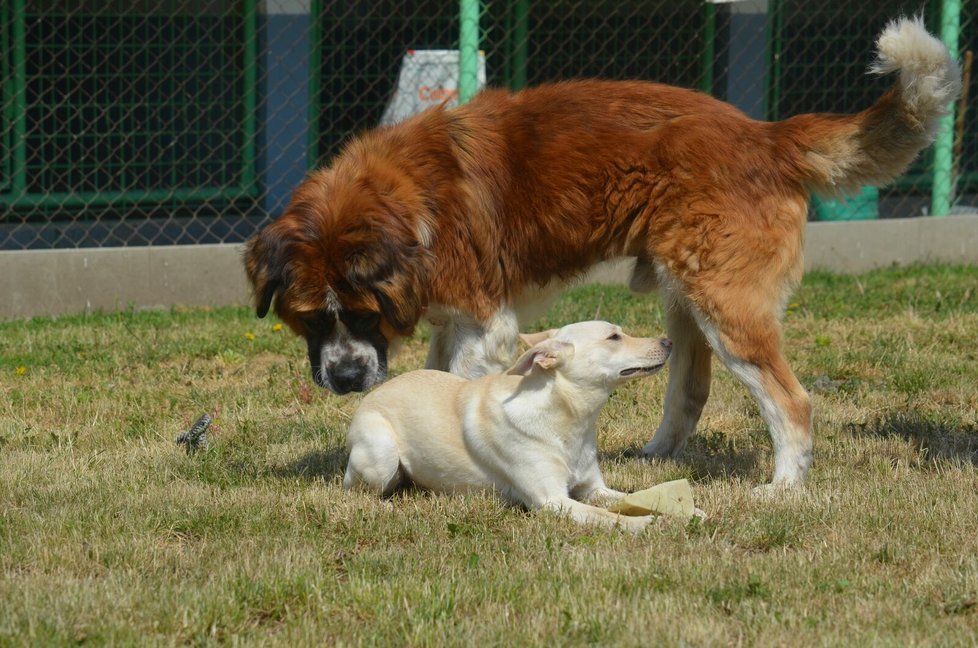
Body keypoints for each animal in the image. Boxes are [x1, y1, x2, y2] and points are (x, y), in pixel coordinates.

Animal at [248, 17, 956, 486]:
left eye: (362, 315)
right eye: (310, 320)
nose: (345, 380)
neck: (403, 202)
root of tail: (767, 133)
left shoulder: (483, 324)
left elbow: (464, 387)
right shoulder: (453, 319)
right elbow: (436, 379)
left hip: (726, 305)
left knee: (792, 401)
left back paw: (783, 490)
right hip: (686, 295)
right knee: (689, 387)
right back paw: (657, 457)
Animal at [344, 322, 672, 536]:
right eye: (614, 337)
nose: (669, 342)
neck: (566, 419)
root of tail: (371, 395)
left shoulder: (593, 489)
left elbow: (634, 497)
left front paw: (672, 509)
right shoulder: (552, 501)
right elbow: (606, 516)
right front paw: (644, 524)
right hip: (382, 456)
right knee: (360, 491)